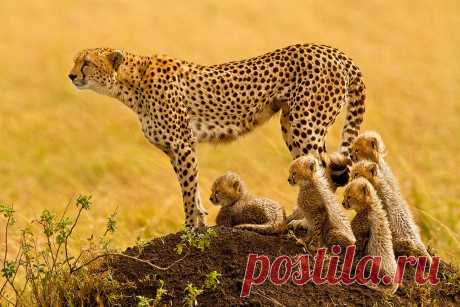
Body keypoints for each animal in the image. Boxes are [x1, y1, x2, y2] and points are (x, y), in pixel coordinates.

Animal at [68, 44, 366, 230]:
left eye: (87, 62)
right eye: (75, 60)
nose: (70, 75)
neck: (132, 82)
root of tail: (332, 50)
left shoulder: (182, 145)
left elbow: (188, 190)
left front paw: (190, 228)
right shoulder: (178, 148)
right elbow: (191, 188)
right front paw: (200, 221)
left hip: (305, 123)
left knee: (323, 170)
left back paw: (305, 221)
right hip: (291, 123)